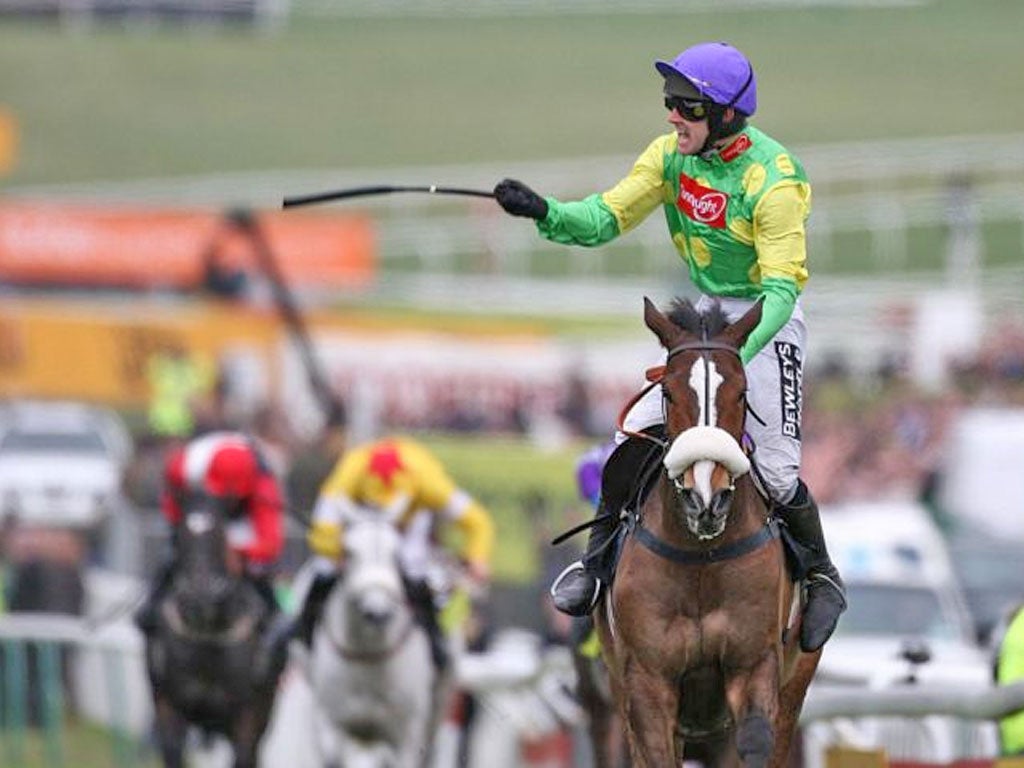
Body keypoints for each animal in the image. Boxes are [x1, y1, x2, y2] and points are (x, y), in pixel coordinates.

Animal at [143, 495, 284, 765]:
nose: (200, 593)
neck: (208, 635)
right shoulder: (169, 706)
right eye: (180, 535)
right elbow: (172, 749)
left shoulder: (246, 717)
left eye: (220, 533)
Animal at [593, 296, 823, 765]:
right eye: (667, 392)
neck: (700, 558)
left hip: (794, 683)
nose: (706, 499)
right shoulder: (646, 682)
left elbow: (755, 740)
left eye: (742, 392)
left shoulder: (754, 665)